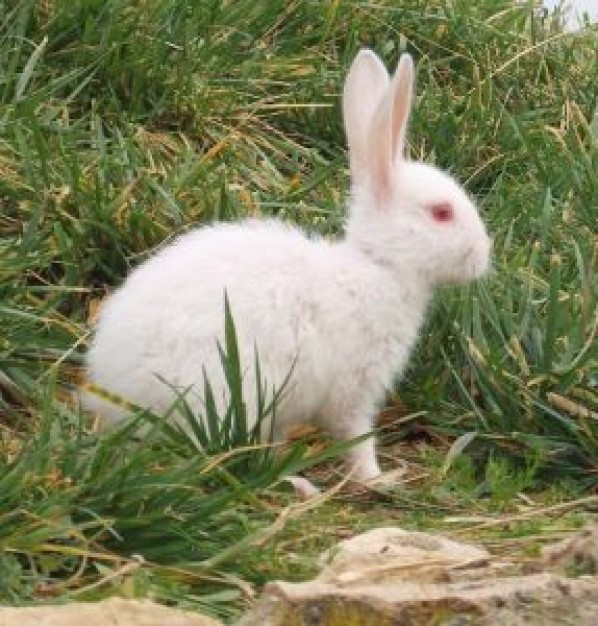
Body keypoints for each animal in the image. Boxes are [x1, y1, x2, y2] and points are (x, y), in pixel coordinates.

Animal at [83, 50, 492, 478]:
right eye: (441, 213)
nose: (484, 253)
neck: (378, 264)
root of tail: (111, 389)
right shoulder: (354, 388)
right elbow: (356, 437)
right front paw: (380, 479)